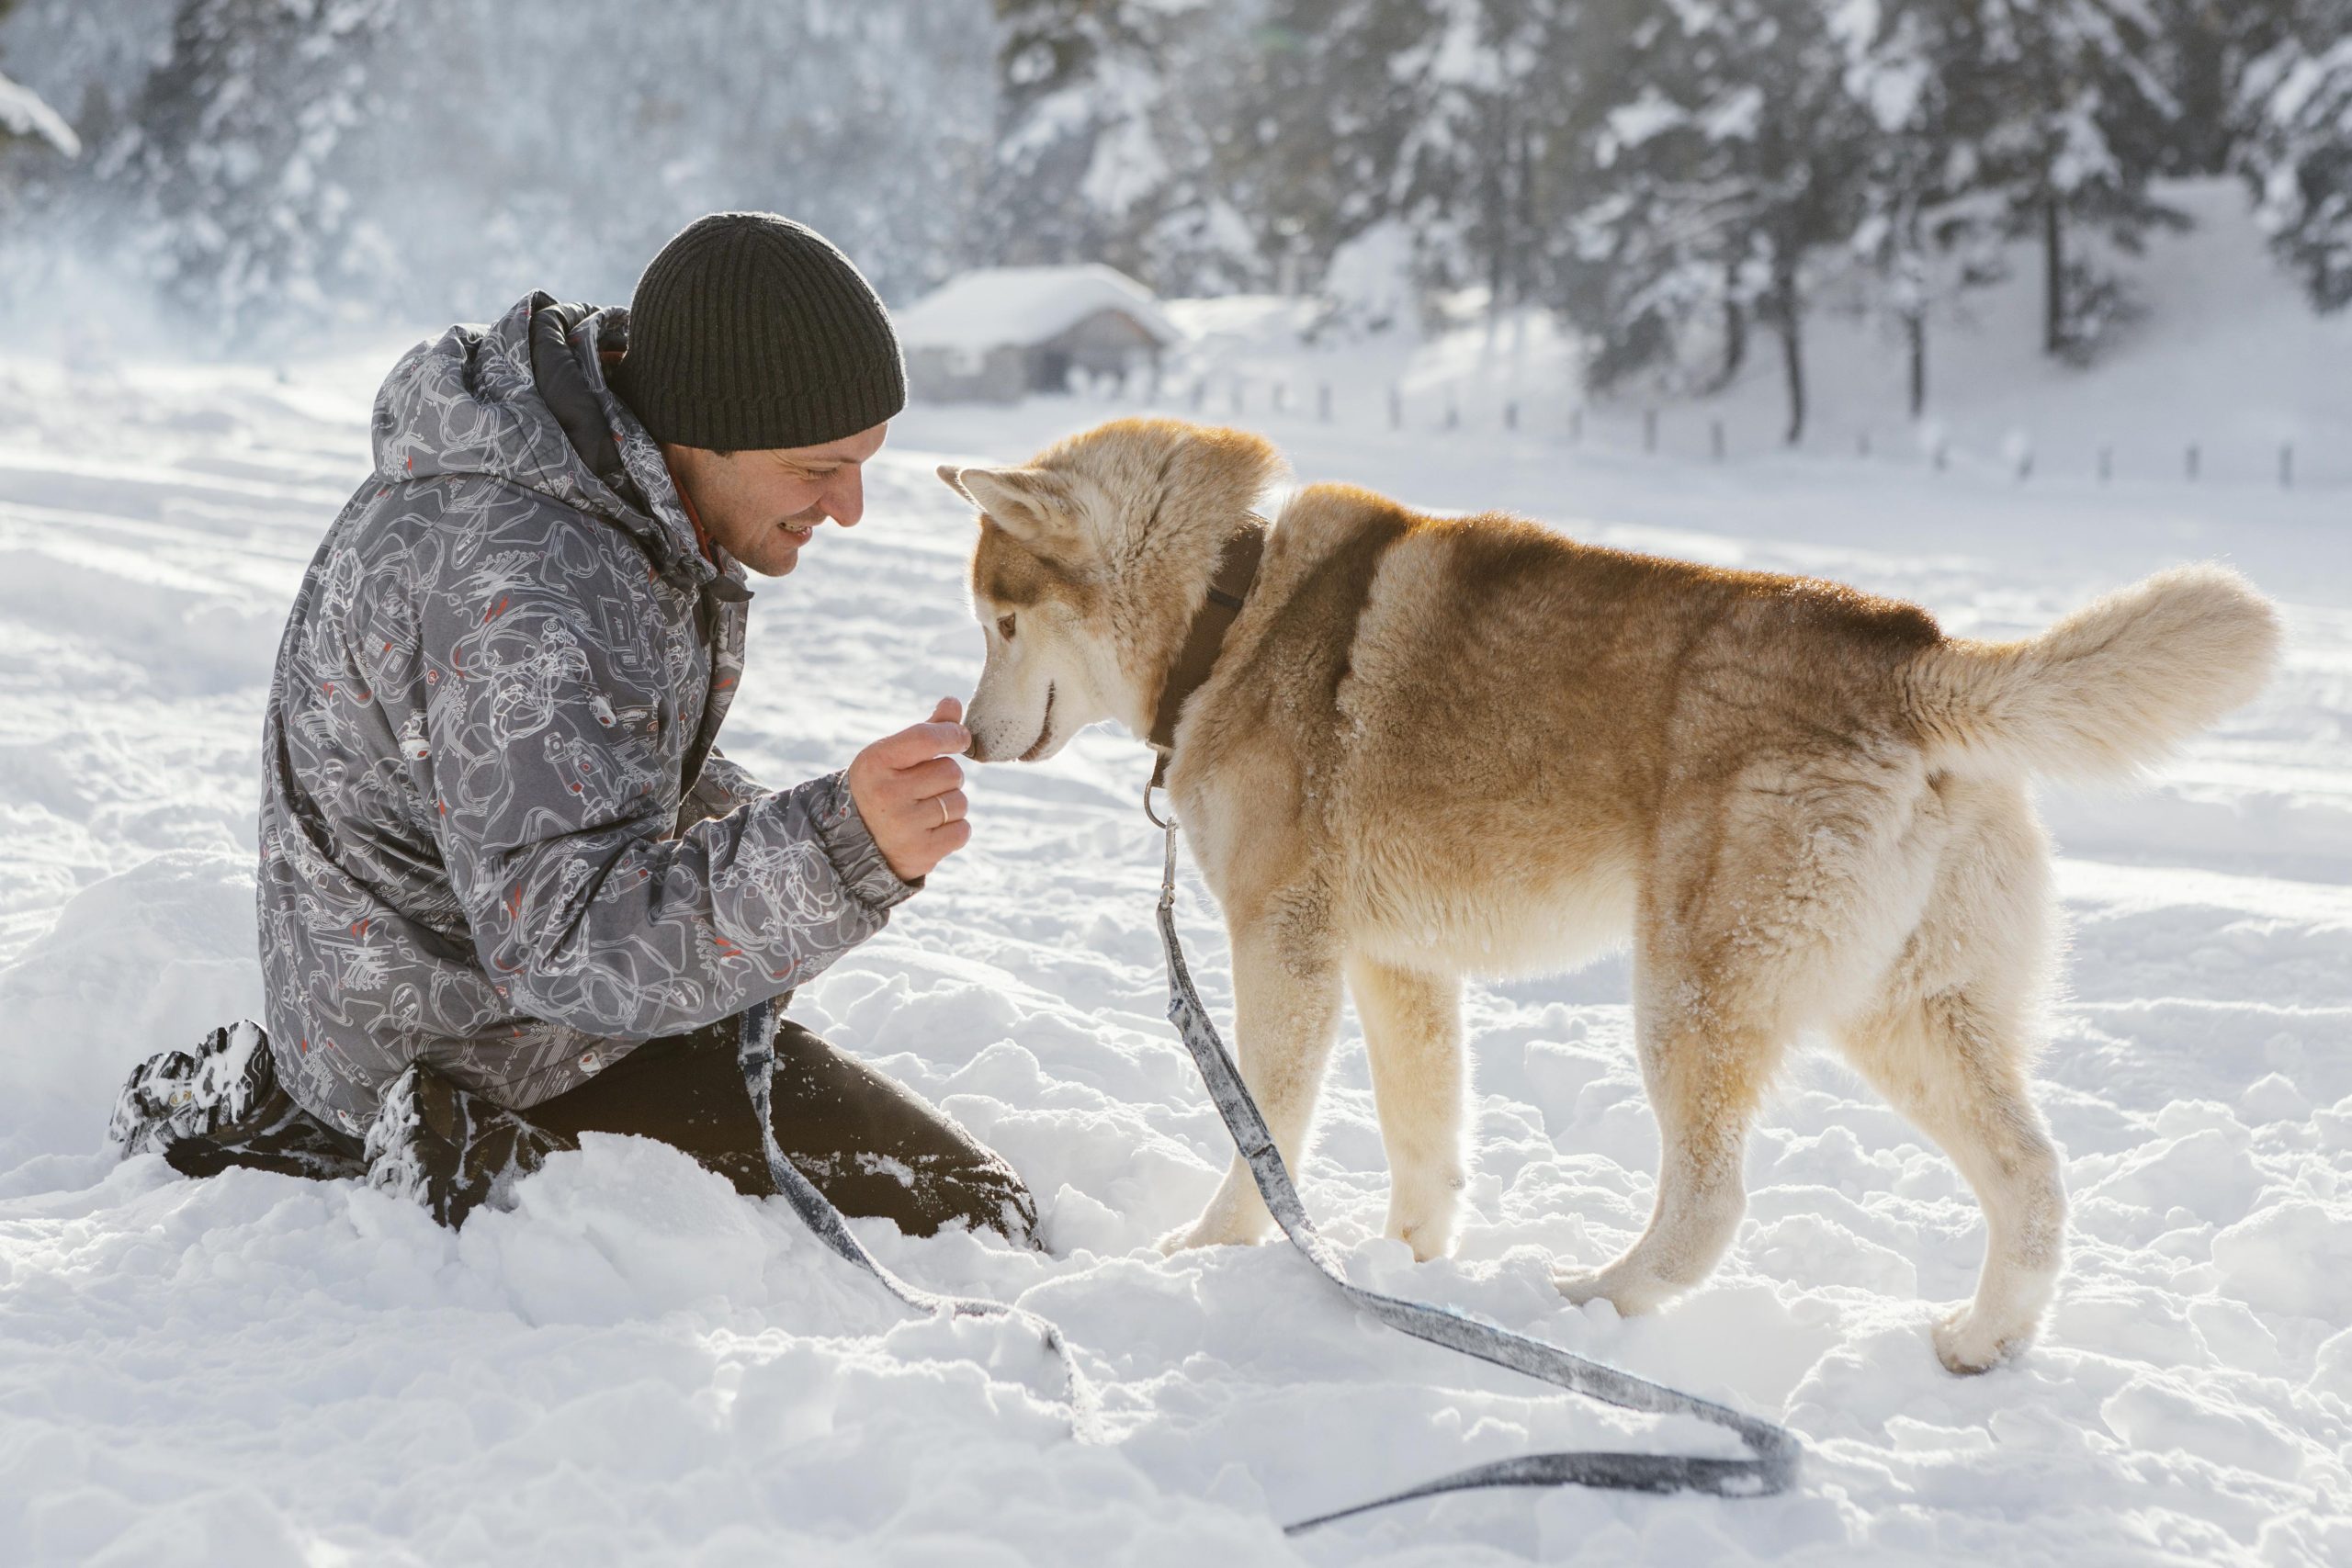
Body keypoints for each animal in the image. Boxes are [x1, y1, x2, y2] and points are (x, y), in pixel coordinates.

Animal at [935, 421, 2277, 1372]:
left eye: (1000, 618)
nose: (967, 740)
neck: (1230, 604)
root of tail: (1914, 655)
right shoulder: (1396, 965)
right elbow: (1425, 1144)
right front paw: (1404, 1269)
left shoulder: (1284, 947)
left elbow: (1262, 1133)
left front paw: (1212, 1251)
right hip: (1908, 1016)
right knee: (2033, 1182)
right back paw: (1982, 1340)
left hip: (1688, 993)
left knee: (1709, 1203)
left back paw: (1590, 1303)